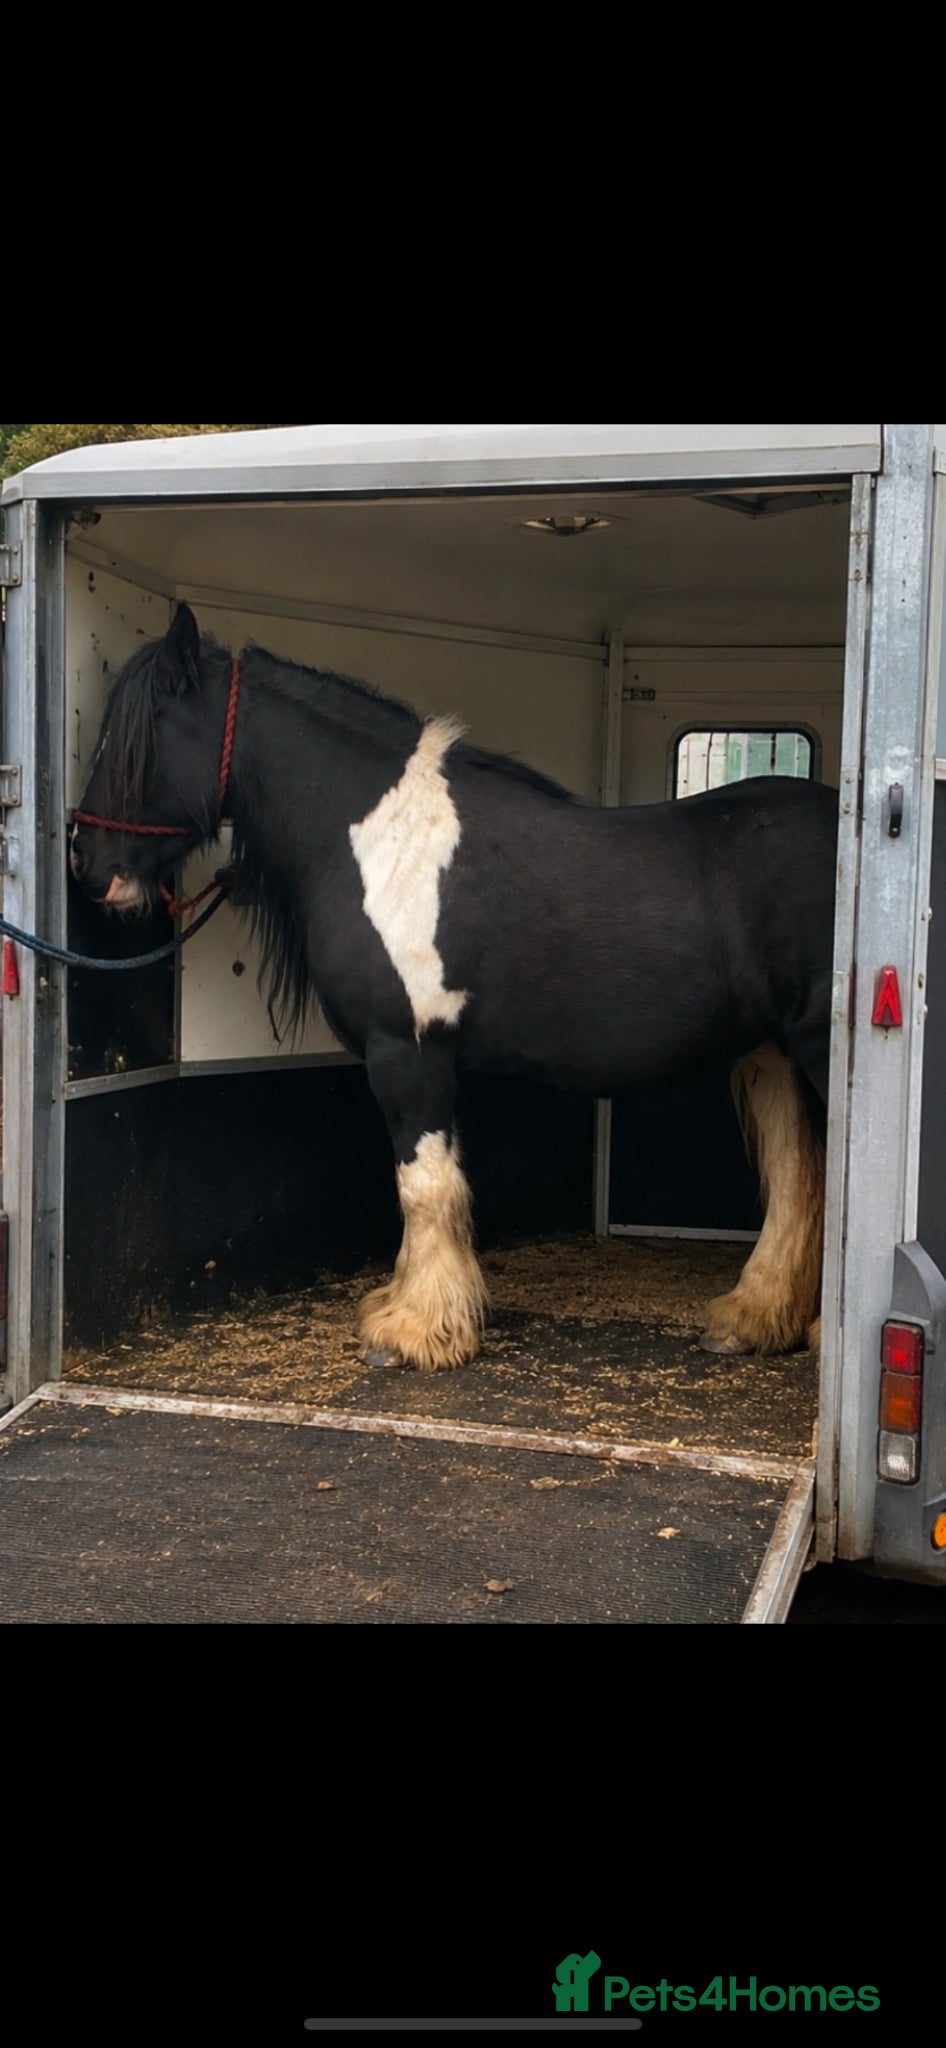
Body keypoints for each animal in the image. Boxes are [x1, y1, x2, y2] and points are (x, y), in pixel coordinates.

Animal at [70, 603, 835, 1372]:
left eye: (138, 736)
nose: (92, 868)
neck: (380, 838)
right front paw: (406, 1307)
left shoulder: (405, 1051)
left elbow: (423, 1183)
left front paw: (416, 1332)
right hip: (775, 1054)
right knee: (798, 1179)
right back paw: (753, 1318)